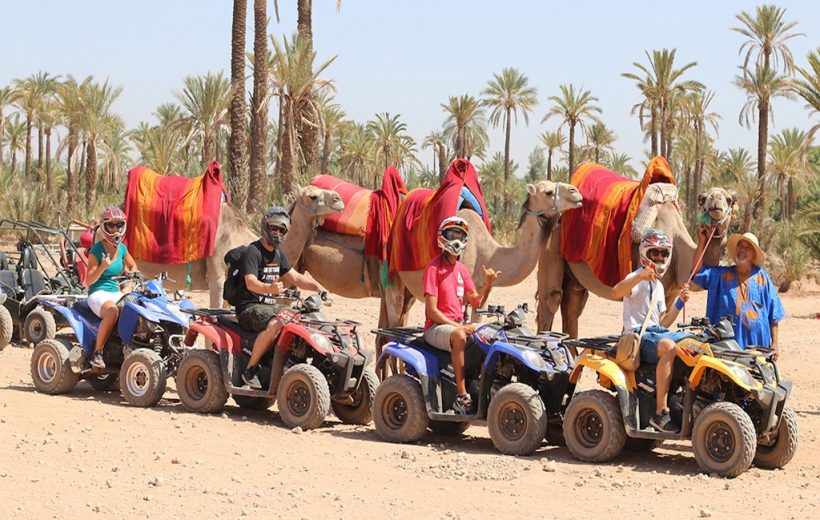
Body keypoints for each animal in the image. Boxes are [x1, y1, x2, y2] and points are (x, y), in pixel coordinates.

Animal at [536, 187, 732, 338]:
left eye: (729, 199)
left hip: (575, 277)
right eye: (704, 198)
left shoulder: (669, 295)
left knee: (572, 307)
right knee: (551, 299)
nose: (716, 200)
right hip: (551, 245)